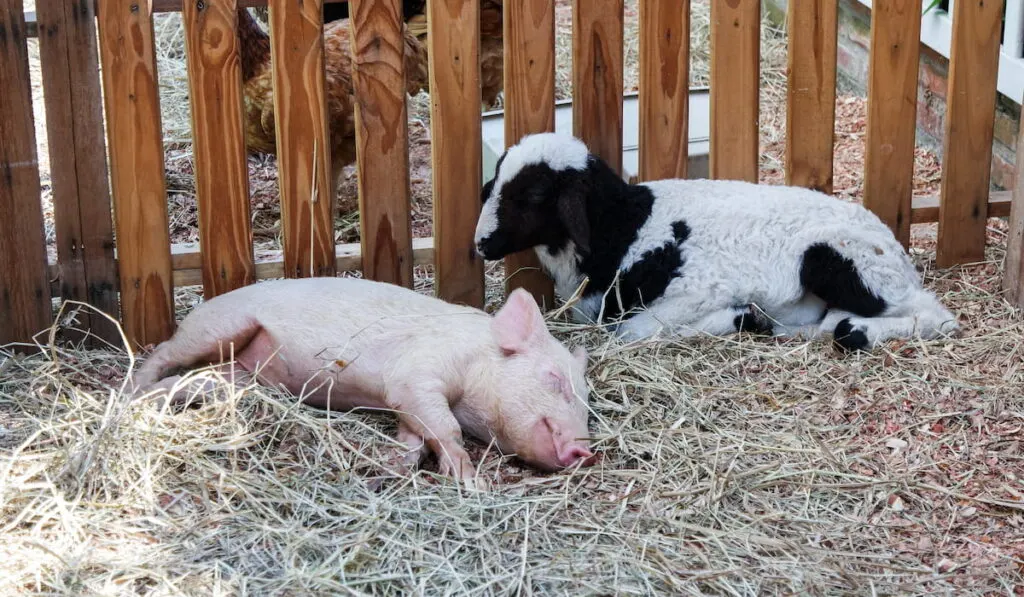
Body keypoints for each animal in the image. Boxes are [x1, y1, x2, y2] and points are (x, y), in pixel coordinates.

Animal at [473, 132, 958, 350]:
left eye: (534, 195)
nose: (480, 244)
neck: (625, 227)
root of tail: (894, 247)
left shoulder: (696, 290)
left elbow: (634, 330)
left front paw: (737, 317)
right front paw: (747, 318)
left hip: (837, 261)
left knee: (936, 315)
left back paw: (858, 331)